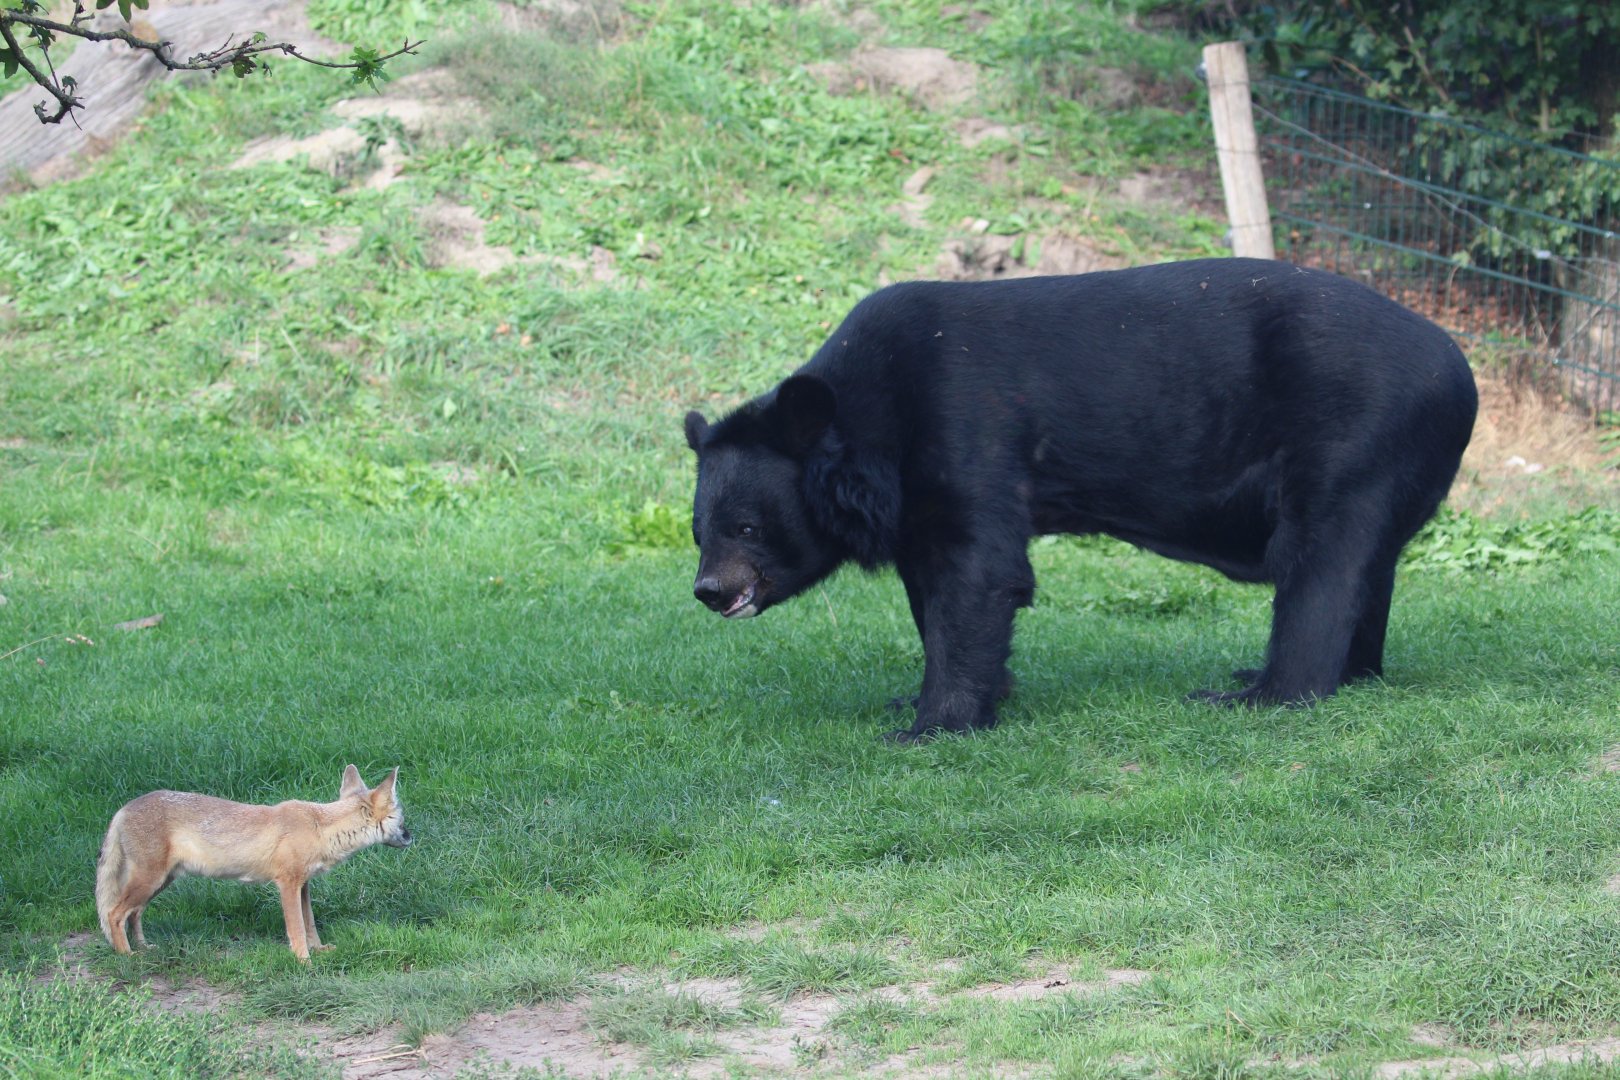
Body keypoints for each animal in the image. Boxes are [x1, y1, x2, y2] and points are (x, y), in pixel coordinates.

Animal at [95, 765, 412, 961]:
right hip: (149, 881)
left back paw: (143, 948)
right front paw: (304, 962)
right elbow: (297, 929)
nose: (412, 837)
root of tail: (122, 809)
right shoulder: (287, 884)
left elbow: (310, 924)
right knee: (113, 914)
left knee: (134, 914)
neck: (320, 827)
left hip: (158, 883)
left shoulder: (303, 885)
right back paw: (126, 957)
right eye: (401, 819)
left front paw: (319, 950)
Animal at [684, 258, 1478, 742]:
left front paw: (929, 725)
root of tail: (1461, 370)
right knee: (1367, 571)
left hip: (1353, 434)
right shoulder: (911, 501)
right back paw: (1337, 675)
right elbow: (936, 587)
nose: (710, 592)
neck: (869, 433)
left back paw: (1260, 692)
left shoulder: (967, 426)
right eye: (700, 532)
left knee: (1321, 565)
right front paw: (941, 696)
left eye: (748, 527)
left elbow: (980, 572)